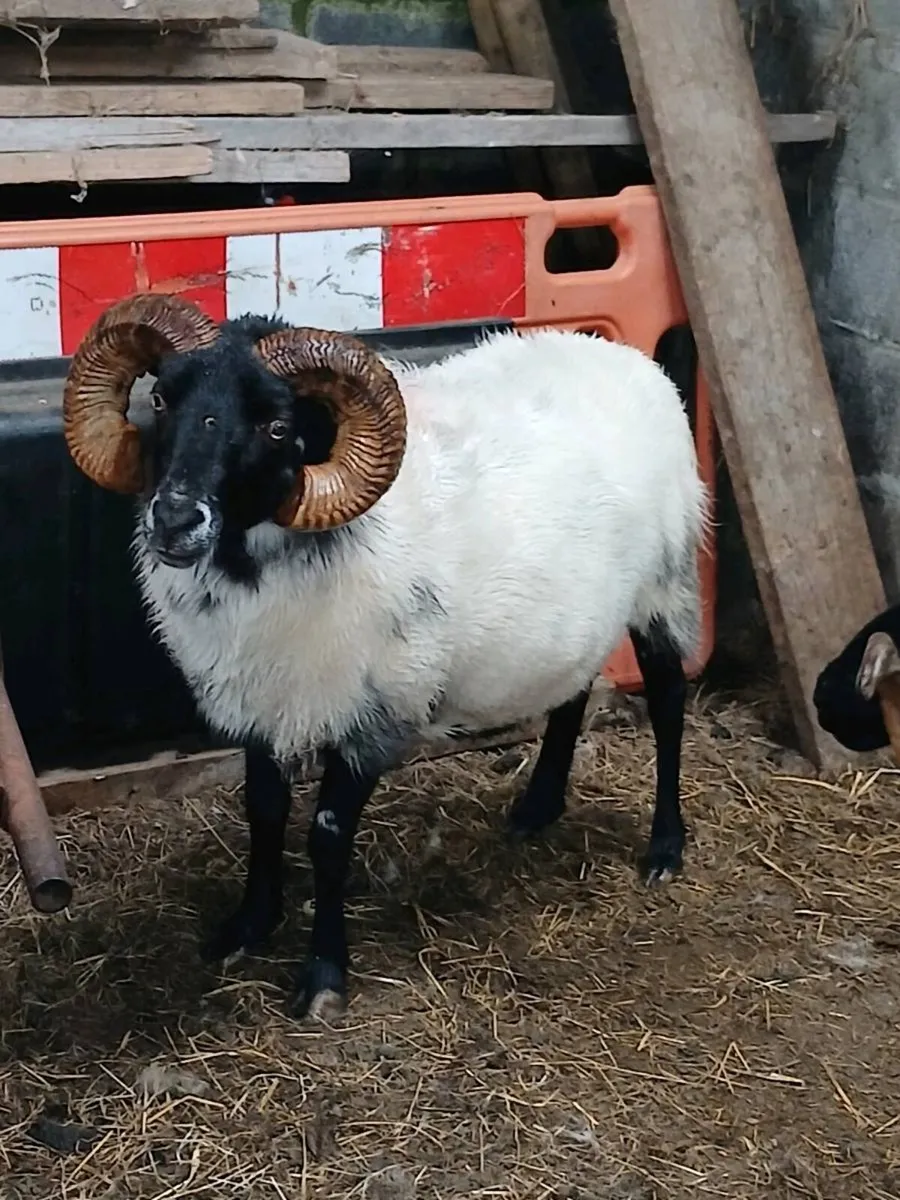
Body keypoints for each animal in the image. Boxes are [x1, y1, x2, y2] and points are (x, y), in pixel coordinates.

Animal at [62, 292, 710, 1019]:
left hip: (664, 586)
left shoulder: (374, 715)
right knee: (571, 693)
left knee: (668, 703)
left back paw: (664, 848)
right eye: (161, 399)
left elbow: (326, 836)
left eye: (277, 427)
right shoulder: (263, 701)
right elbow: (262, 812)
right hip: (577, 611)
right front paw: (247, 927)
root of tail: (629, 359)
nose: (174, 520)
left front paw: (322, 977)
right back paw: (537, 809)